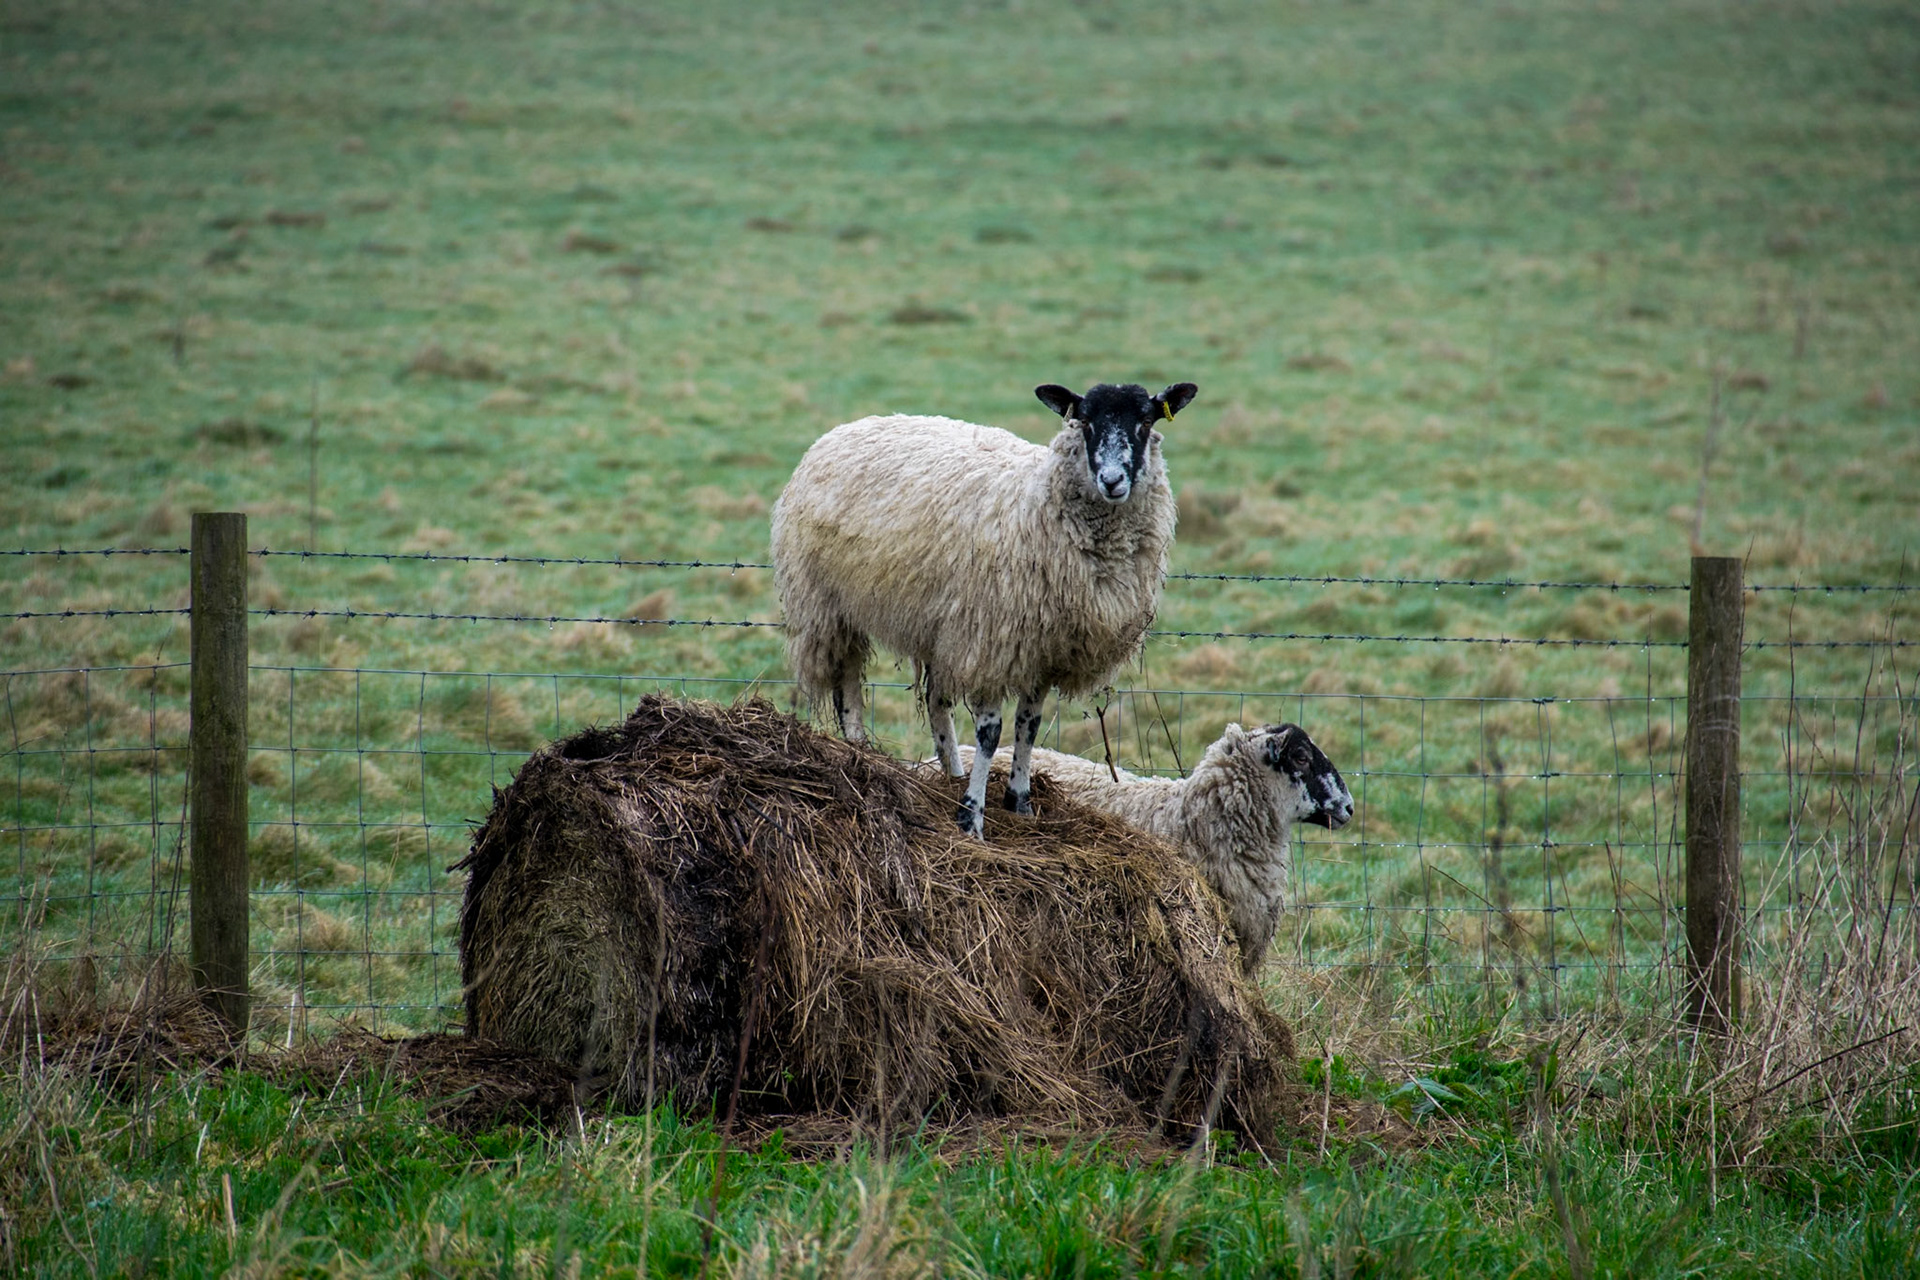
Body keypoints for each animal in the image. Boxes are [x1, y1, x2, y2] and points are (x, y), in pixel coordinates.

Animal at [771, 380, 1196, 836]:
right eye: (1085, 421)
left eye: (1145, 422)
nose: (1113, 480)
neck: (1038, 499)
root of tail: (846, 428)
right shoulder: (992, 641)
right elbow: (991, 734)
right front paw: (971, 815)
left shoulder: (1040, 649)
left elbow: (1028, 727)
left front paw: (1020, 803)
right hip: (830, 606)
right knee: (847, 683)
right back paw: (859, 749)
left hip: (936, 624)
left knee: (937, 703)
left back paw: (950, 772)